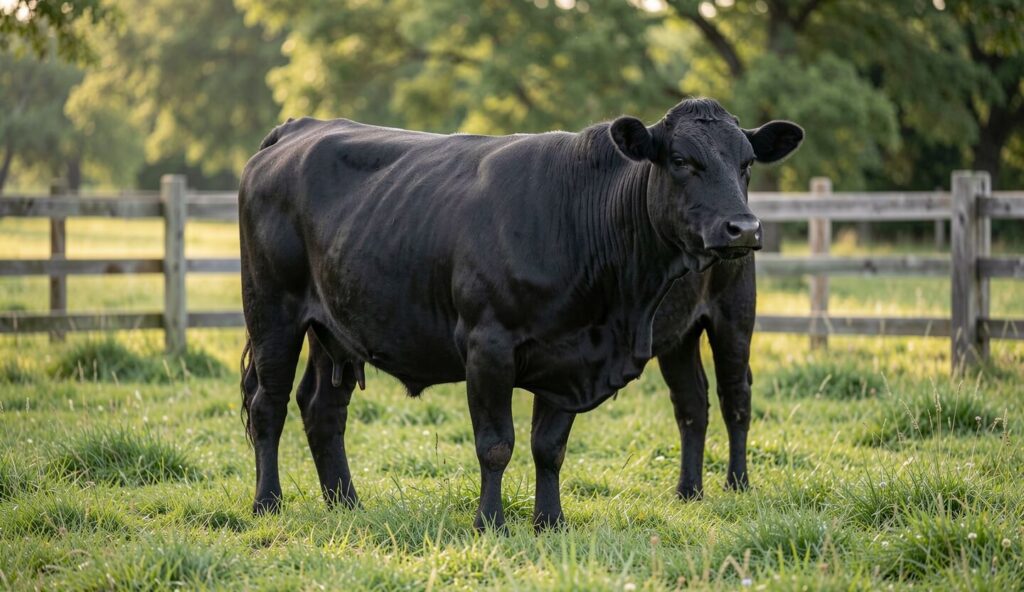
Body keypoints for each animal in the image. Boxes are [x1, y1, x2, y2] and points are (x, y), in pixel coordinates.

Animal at [238, 97, 802, 530]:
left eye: (747, 163)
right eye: (682, 160)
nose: (744, 228)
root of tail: (298, 127)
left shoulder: (569, 356)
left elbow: (548, 447)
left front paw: (549, 522)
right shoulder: (488, 346)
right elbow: (496, 445)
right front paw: (490, 522)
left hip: (333, 326)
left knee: (322, 409)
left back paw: (346, 504)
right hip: (271, 310)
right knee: (269, 405)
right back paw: (268, 503)